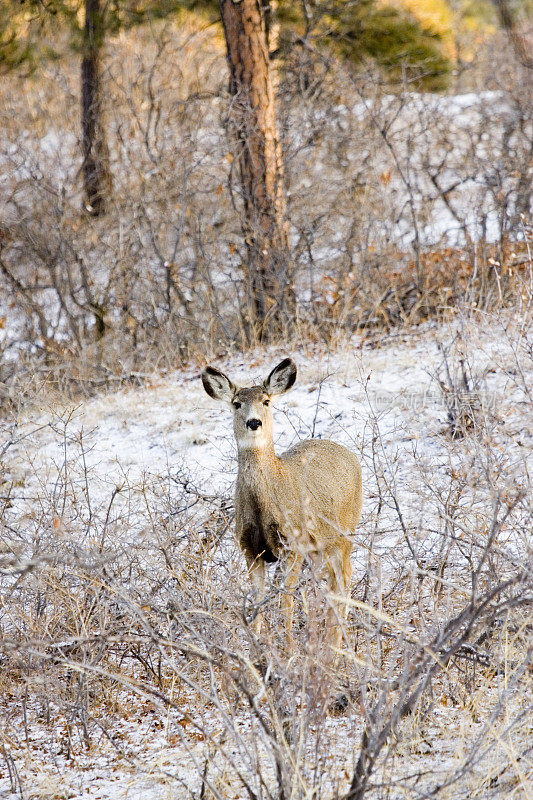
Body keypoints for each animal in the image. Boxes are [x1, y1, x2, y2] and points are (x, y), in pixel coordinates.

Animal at [202, 356, 364, 648]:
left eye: (266, 401)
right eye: (236, 403)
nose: (254, 422)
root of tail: (349, 455)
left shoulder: (293, 543)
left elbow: (285, 602)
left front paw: (288, 649)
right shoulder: (249, 548)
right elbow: (258, 601)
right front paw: (256, 647)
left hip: (344, 534)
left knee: (344, 579)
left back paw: (336, 644)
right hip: (319, 549)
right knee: (329, 583)